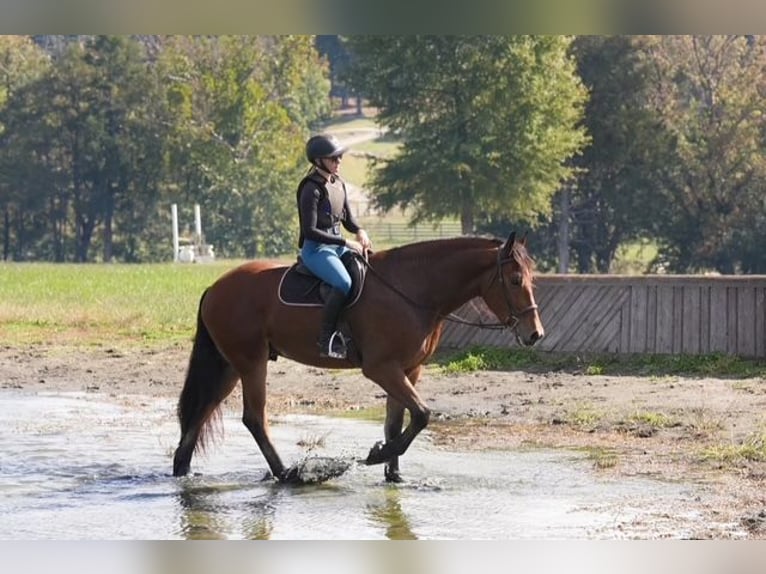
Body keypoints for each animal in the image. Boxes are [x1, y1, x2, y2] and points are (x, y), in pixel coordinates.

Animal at [172, 231, 544, 483]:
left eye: (532, 279)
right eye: (514, 280)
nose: (535, 334)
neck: (412, 289)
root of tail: (216, 287)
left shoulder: (409, 369)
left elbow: (398, 420)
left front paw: (394, 473)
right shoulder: (382, 368)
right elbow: (421, 414)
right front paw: (380, 455)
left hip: (229, 365)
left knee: (202, 409)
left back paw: (183, 469)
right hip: (251, 363)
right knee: (253, 417)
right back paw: (286, 472)